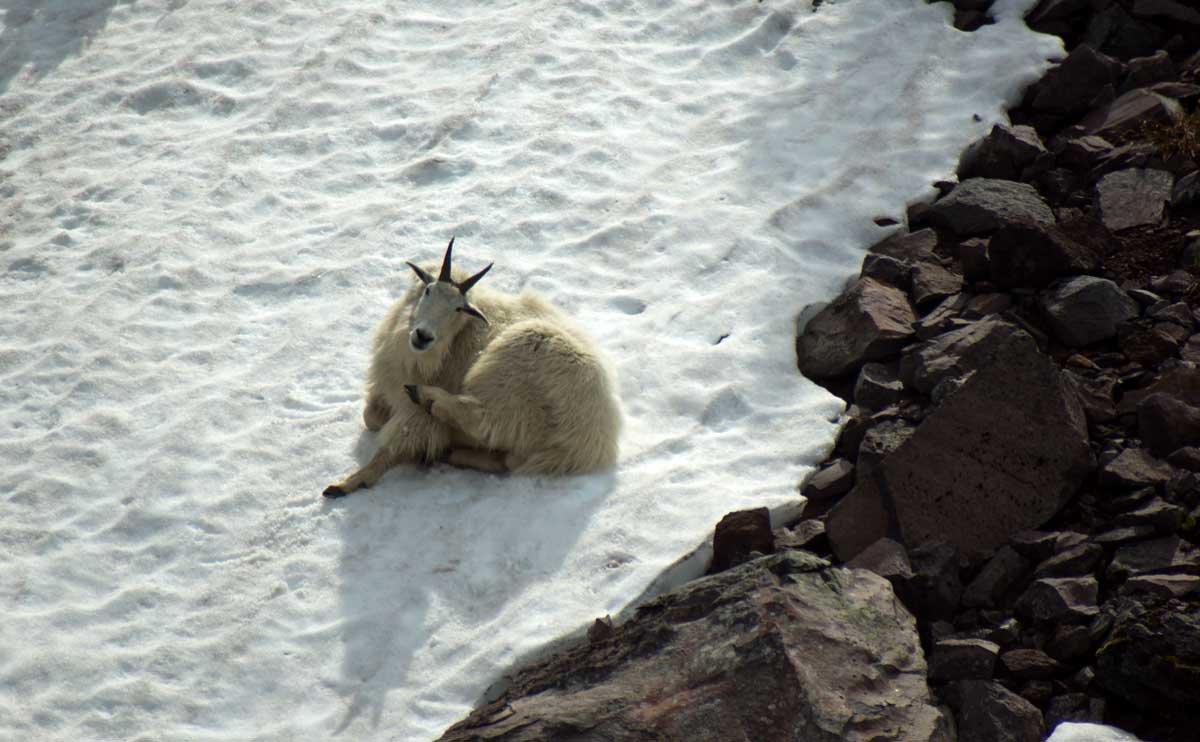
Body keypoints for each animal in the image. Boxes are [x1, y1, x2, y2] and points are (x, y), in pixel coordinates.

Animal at [324, 235, 624, 497]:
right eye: (428, 291)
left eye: (459, 309)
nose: (423, 336)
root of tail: (591, 443)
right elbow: (371, 418)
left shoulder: (415, 416)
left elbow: (393, 444)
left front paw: (348, 482)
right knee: (507, 459)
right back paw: (454, 452)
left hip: (510, 367)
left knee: (483, 420)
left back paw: (430, 400)